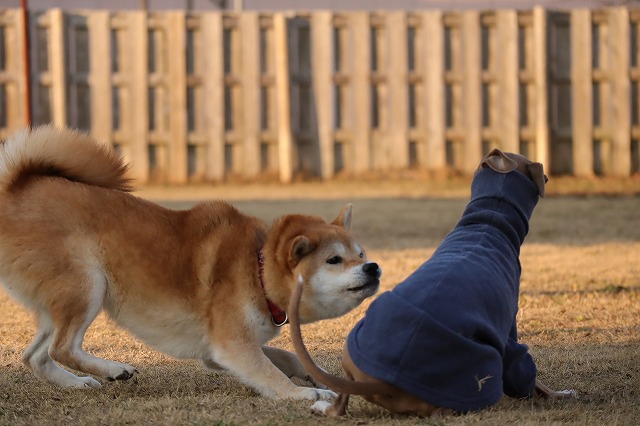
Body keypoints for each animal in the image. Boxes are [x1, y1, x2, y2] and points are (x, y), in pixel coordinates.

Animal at [0, 125, 381, 400]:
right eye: (334, 260)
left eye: (361, 254)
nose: (373, 268)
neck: (255, 268)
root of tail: (15, 192)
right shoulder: (232, 344)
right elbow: (270, 373)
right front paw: (303, 393)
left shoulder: (220, 348)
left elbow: (283, 357)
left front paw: (313, 377)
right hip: (87, 285)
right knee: (62, 348)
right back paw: (112, 369)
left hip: (58, 300)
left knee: (36, 356)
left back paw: (77, 384)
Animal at [289, 149, 577, 416]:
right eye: (541, 173)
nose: (548, 175)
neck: (487, 221)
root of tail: (385, 381)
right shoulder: (508, 330)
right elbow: (526, 371)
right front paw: (561, 394)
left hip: (351, 348)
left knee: (339, 406)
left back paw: (322, 406)